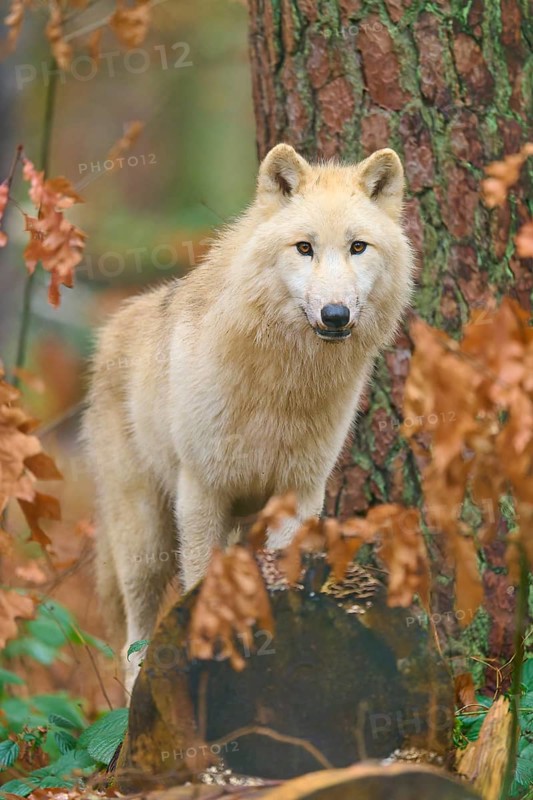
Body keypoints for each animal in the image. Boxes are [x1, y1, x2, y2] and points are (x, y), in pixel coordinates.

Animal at [83, 144, 415, 690]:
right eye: (304, 248)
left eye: (358, 247)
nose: (335, 314)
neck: (283, 386)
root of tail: (112, 329)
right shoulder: (202, 493)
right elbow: (200, 586)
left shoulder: (299, 496)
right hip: (143, 541)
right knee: (133, 645)